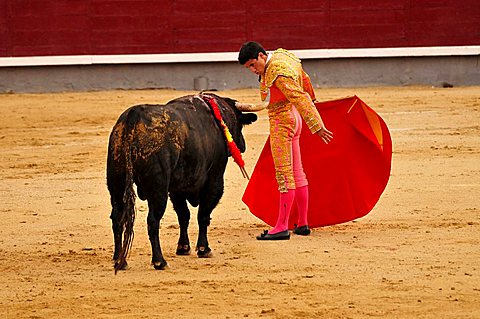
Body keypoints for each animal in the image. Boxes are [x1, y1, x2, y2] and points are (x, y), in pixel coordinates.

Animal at [104, 93, 255, 272]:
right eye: (240, 124)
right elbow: (203, 215)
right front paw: (204, 249)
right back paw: (159, 261)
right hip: (158, 190)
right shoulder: (214, 182)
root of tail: (131, 119)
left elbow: (184, 215)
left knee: (117, 218)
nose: (243, 145)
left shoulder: (176, 189)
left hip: (116, 182)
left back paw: (119, 260)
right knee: (153, 221)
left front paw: (183, 247)